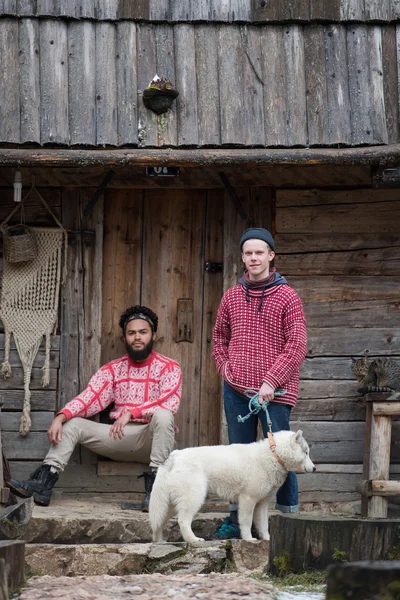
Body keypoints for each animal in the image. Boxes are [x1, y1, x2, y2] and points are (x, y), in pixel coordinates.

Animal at [150, 426, 316, 544]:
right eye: (306, 452)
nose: (315, 468)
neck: (273, 454)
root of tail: (173, 456)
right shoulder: (248, 499)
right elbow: (247, 522)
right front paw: (249, 539)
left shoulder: (261, 504)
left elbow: (263, 525)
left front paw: (267, 539)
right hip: (193, 498)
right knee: (182, 521)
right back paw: (193, 540)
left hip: (170, 504)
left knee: (159, 522)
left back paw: (159, 541)